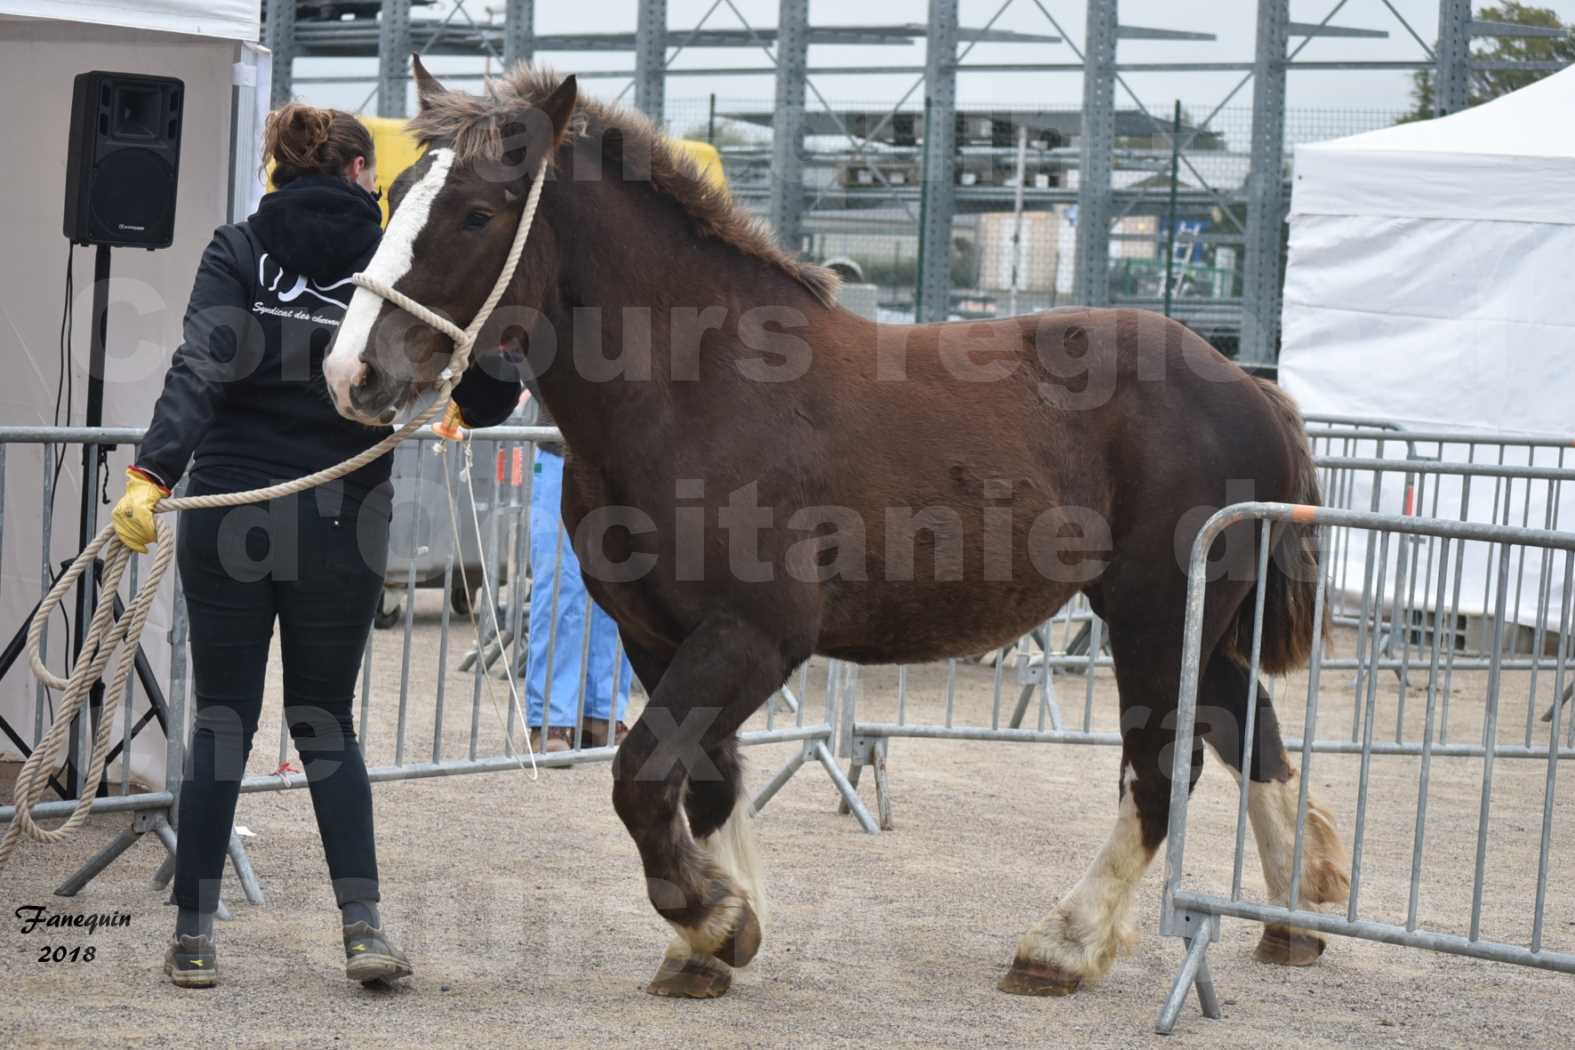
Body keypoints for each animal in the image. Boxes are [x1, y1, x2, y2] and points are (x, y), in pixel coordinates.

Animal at [322, 57, 1354, 1001]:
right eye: (395, 195)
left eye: (477, 214)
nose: (353, 374)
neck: (702, 386)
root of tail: (1249, 385)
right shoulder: (656, 633)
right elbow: (702, 780)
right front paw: (712, 939)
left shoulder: (756, 634)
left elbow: (640, 774)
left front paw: (712, 916)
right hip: (1188, 621)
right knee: (1248, 727)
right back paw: (1291, 917)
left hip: (1155, 613)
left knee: (1161, 764)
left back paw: (1063, 944)